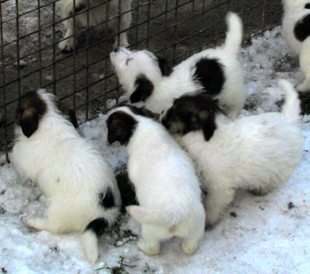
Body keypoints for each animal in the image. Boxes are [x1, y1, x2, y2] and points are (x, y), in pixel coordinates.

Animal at [10, 89, 121, 264]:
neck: (50, 122)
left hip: (57, 211)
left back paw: (33, 221)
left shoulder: (21, 159)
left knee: (54, 226)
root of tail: (104, 213)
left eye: (19, 107)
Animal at [106, 106, 206, 256]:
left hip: (149, 230)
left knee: (153, 248)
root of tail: (176, 212)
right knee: (189, 247)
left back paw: (141, 245)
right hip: (196, 229)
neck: (138, 122)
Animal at [110, 12, 246, 118]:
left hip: (233, 91)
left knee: (238, 102)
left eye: (127, 61)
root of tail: (227, 52)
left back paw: (231, 113)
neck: (159, 83)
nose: (116, 49)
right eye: (133, 51)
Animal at [161, 79, 304, 227]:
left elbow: (212, 205)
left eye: (175, 111)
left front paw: (208, 220)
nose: (161, 113)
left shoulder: (220, 188)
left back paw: (262, 189)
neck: (203, 136)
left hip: (281, 168)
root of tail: (288, 120)